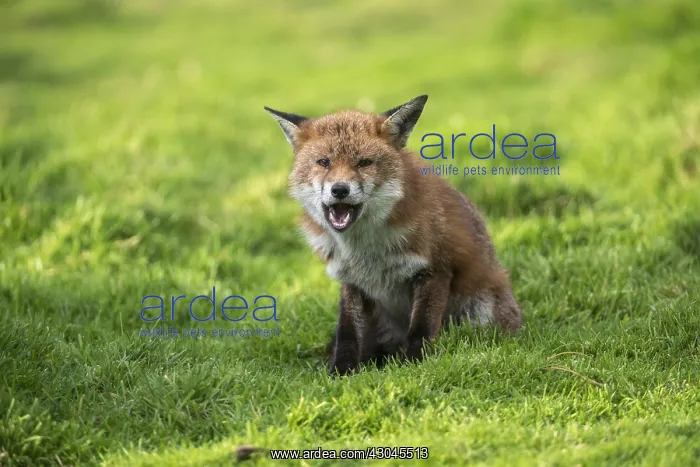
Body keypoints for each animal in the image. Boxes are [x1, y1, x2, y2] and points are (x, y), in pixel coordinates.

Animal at [264, 95, 523, 376]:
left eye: (364, 163)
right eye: (324, 162)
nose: (340, 190)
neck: (364, 251)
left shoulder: (435, 270)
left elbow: (421, 329)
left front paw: (414, 365)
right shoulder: (351, 281)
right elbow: (347, 334)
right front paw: (341, 372)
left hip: (480, 312)